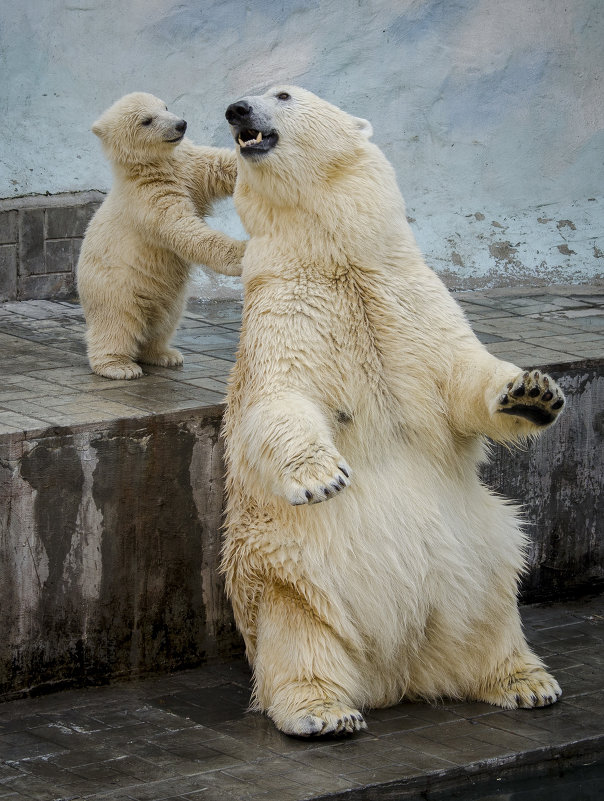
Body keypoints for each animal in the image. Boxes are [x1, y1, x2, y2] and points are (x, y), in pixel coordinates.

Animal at [78, 92, 245, 380]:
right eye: (147, 120)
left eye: (165, 106)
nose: (181, 124)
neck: (154, 165)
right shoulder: (148, 197)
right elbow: (180, 226)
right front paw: (242, 253)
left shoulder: (189, 166)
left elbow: (219, 166)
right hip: (115, 288)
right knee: (117, 324)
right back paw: (119, 366)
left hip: (167, 296)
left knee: (165, 320)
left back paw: (164, 354)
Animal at [222, 84, 568, 736]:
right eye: (249, 95)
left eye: (282, 92)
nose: (237, 110)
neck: (339, 262)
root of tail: (399, 672)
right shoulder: (286, 307)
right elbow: (281, 398)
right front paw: (320, 476)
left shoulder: (411, 297)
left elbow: (462, 375)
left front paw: (533, 393)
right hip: (287, 572)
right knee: (301, 636)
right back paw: (323, 711)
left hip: (477, 553)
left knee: (496, 603)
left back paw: (526, 680)